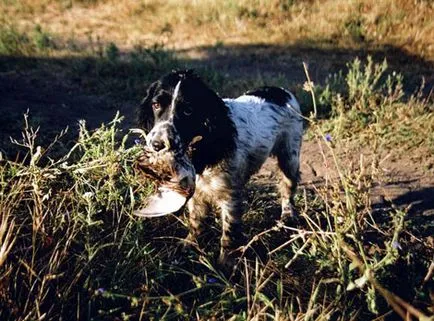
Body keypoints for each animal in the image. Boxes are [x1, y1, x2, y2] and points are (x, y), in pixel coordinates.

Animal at [137, 70, 304, 262]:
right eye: (156, 104)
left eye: (188, 111)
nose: (157, 145)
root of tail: (282, 91)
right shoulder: (196, 192)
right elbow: (196, 222)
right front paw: (188, 247)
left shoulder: (229, 197)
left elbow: (228, 234)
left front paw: (225, 264)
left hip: (289, 157)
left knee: (288, 188)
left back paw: (288, 215)